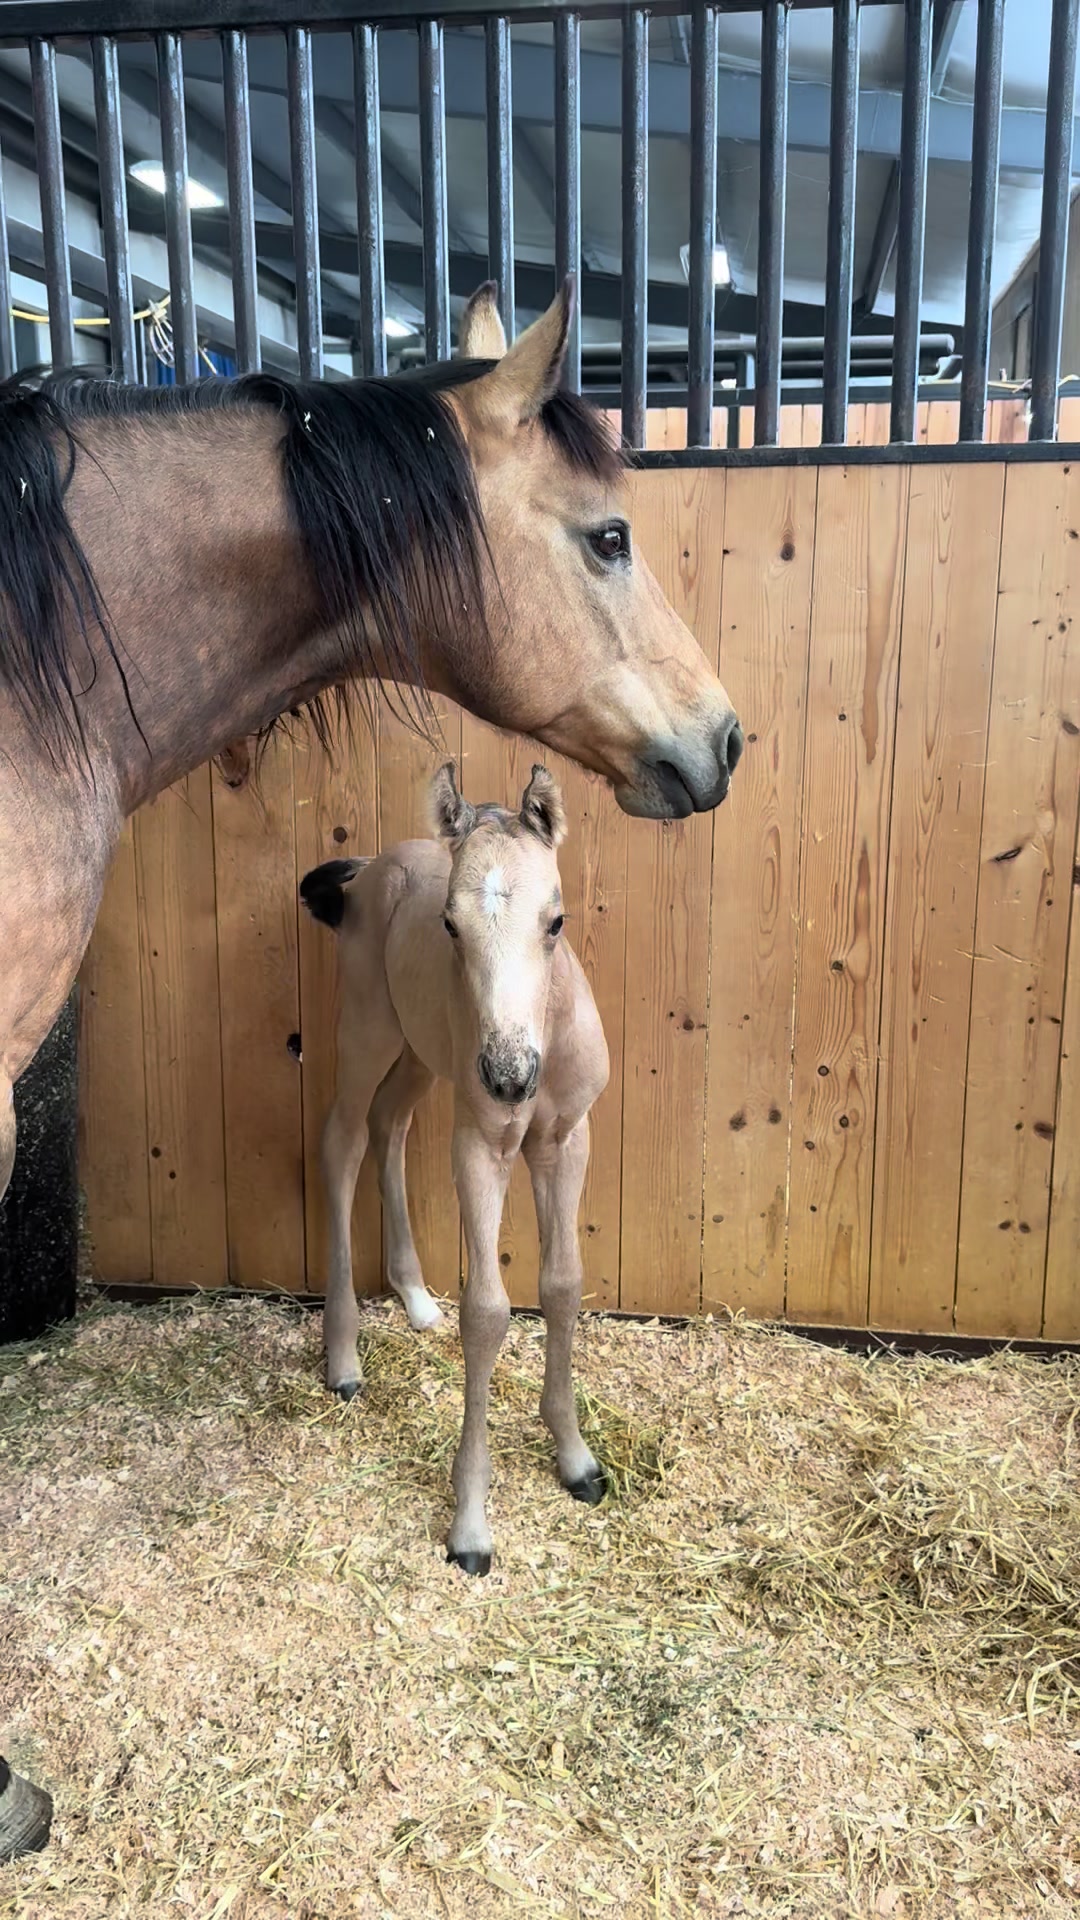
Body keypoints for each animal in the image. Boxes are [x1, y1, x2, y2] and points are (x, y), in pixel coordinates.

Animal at [301, 761, 609, 1577]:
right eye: (449, 925)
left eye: (556, 921)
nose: (508, 1075)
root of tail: (369, 867)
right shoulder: (482, 1147)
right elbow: (489, 1312)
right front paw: (470, 1523)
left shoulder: (566, 1139)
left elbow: (562, 1285)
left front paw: (575, 1459)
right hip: (368, 1032)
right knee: (343, 1140)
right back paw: (343, 1358)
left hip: (416, 1054)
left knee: (391, 1126)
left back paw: (413, 1298)